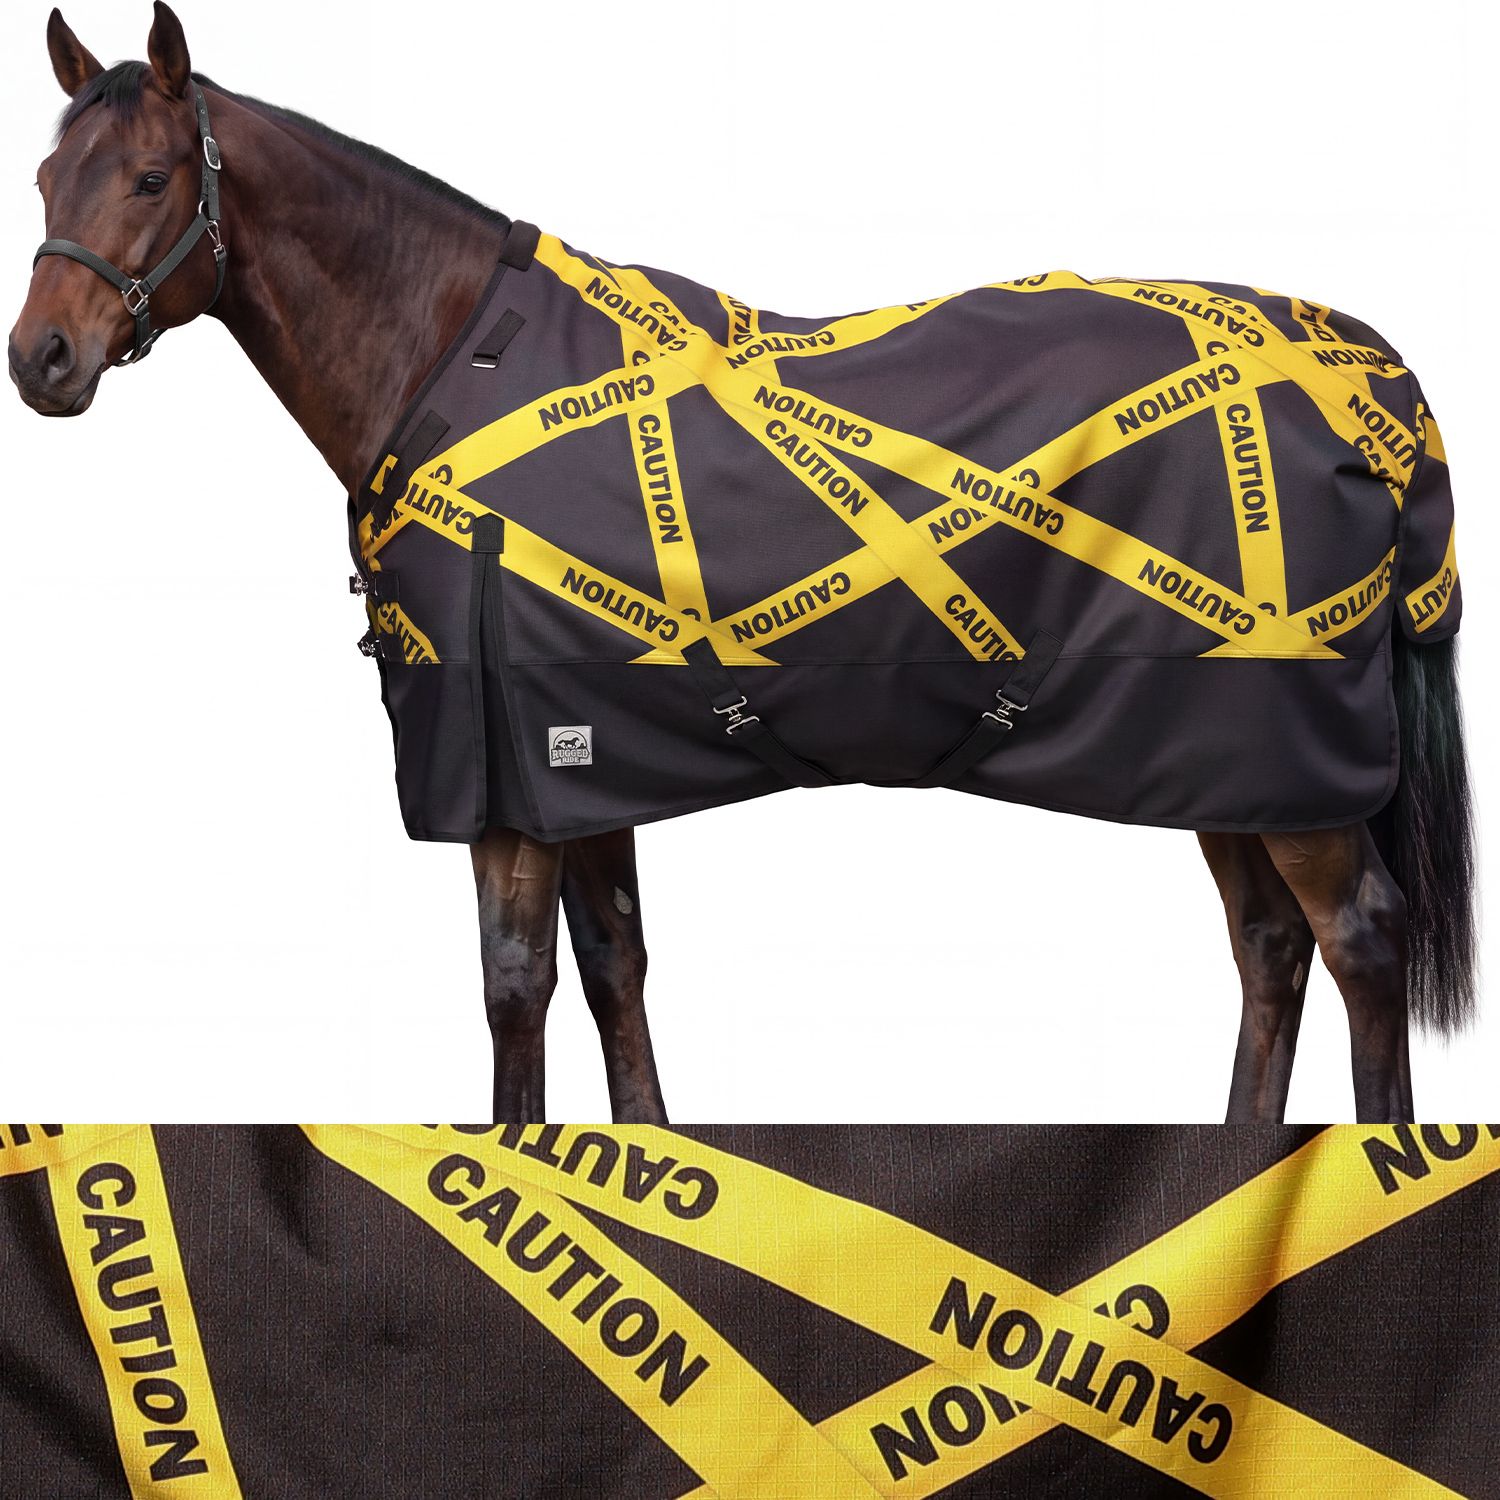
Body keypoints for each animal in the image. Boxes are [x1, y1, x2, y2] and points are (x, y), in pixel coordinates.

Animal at [11, 5, 1476, 1125]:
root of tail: (1371, 382)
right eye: (41, 181)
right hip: (1225, 753)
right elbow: (614, 969)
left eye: (152, 179)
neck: (448, 364)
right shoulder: (578, 760)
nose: (42, 361)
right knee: (1272, 948)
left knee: (1359, 943)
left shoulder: (503, 779)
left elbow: (514, 990)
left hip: (1283, 753)